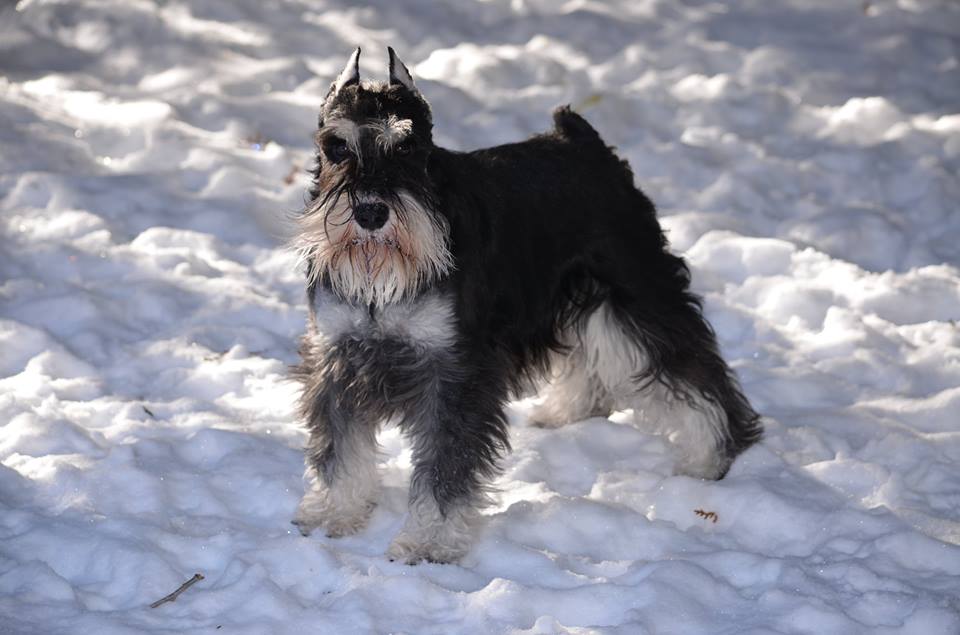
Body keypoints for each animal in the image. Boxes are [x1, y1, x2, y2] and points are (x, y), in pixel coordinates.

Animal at [288, 48, 760, 568]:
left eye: (408, 148)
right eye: (337, 147)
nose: (371, 212)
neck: (381, 281)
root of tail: (581, 141)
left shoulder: (455, 371)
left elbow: (445, 466)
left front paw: (429, 540)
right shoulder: (338, 356)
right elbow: (339, 447)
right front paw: (335, 512)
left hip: (635, 295)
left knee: (692, 371)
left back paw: (710, 456)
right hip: (585, 300)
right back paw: (566, 412)